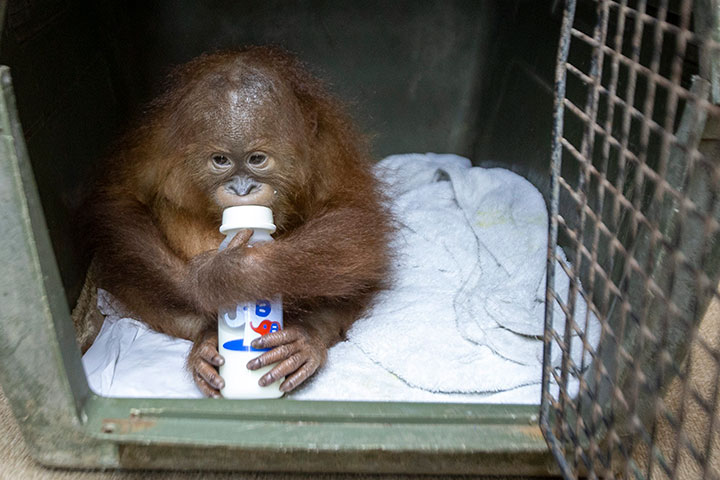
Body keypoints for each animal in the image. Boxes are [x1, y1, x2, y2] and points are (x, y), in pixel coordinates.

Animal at [85, 46, 393, 397]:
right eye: (221, 160)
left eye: (257, 159)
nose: (242, 189)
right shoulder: (155, 142)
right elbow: (121, 201)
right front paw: (202, 284)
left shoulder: (327, 147)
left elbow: (355, 217)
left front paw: (231, 272)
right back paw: (208, 340)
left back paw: (304, 340)